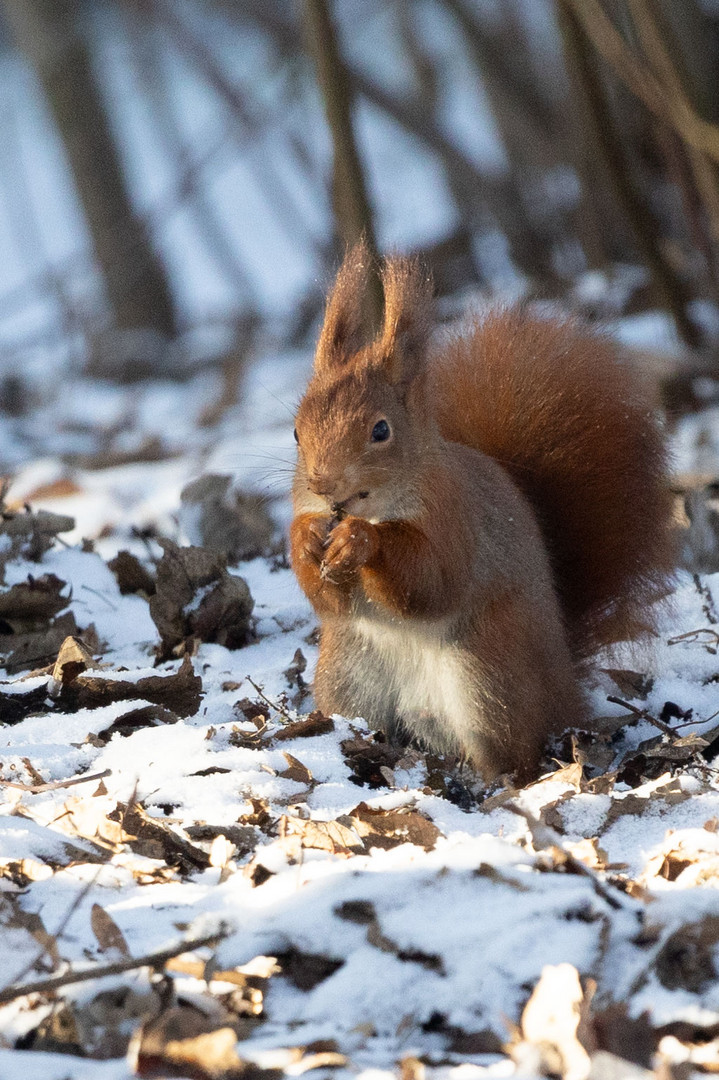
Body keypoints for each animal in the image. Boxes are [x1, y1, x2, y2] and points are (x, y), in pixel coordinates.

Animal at [285, 245, 673, 781]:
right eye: (296, 432)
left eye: (381, 430)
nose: (324, 487)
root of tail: (563, 693)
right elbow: (327, 600)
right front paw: (306, 535)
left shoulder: (454, 517)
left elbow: (431, 580)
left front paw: (361, 540)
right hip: (349, 676)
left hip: (488, 678)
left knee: (513, 753)